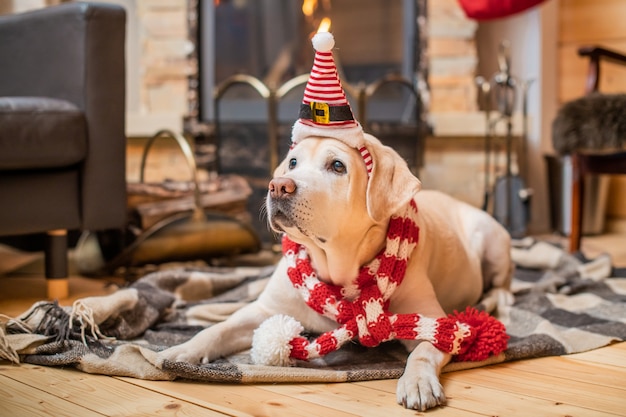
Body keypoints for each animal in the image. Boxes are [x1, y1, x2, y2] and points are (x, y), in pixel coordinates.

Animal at [157, 131, 512, 410]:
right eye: (293, 163)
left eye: (337, 166)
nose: (278, 186)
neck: (337, 271)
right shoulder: (265, 310)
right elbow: (217, 330)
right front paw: (181, 350)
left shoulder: (433, 322)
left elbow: (422, 353)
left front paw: (417, 383)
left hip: (491, 238)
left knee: (503, 285)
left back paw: (495, 301)